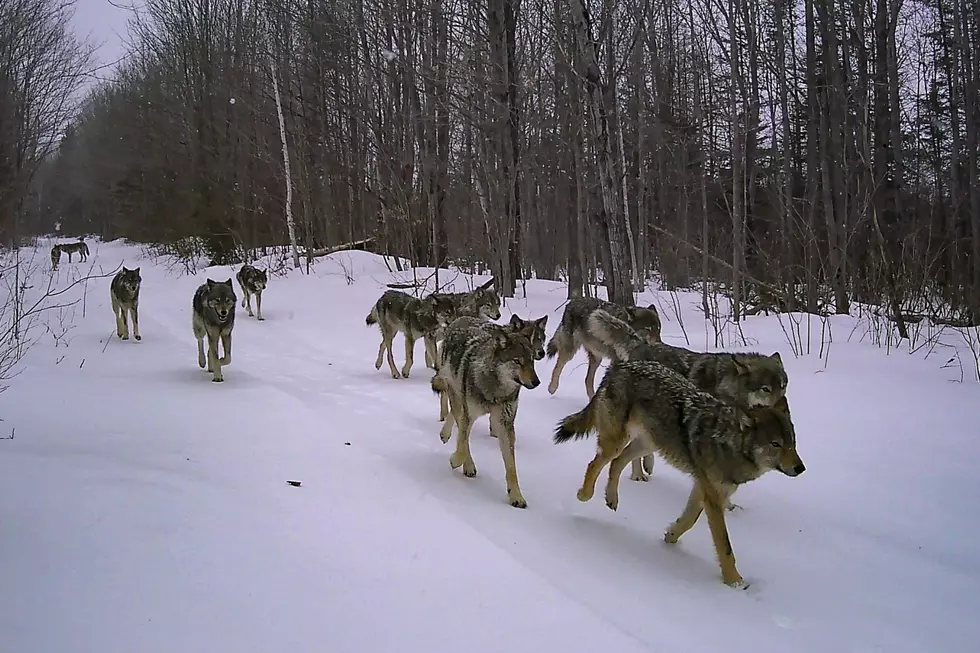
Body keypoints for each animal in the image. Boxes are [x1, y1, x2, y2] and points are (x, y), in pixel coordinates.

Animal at [429, 318, 541, 508]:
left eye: (531, 361)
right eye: (517, 361)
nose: (537, 382)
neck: (495, 392)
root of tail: (459, 319)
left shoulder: (505, 424)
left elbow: (511, 467)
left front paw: (516, 496)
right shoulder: (469, 415)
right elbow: (462, 447)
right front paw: (456, 461)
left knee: (455, 417)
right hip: (457, 396)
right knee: (458, 420)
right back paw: (464, 460)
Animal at [553, 359, 805, 588]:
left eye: (792, 443)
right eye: (775, 444)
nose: (801, 468)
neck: (727, 443)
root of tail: (621, 366)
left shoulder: (704, 489)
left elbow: (689, 520)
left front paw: (671, 536)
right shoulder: (712, 496)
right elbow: (724, 545)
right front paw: (735, 582)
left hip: (649, 444)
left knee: (617, 463)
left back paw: (612, 498)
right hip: (618, 441)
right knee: (595, 463)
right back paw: (584, 494)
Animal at [588, 308, 789, 489]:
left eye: (783, 386)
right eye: (765, 389)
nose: (784, 406)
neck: (724, 385)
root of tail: (641, 343)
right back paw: (639, 473)